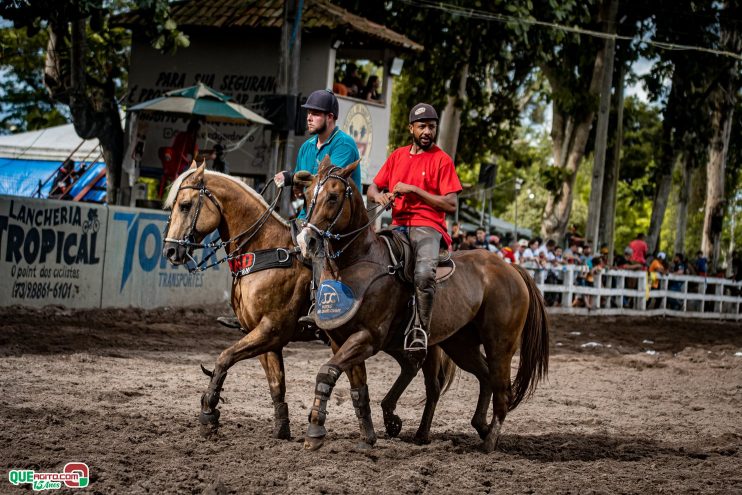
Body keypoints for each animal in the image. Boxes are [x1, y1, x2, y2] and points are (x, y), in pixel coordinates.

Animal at [163, 164, 460, 446]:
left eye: (185, 205)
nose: (170, 251)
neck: (265, 250)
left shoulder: (271, 331)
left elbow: (224, 358)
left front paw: (208, 413)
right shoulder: (263, 337)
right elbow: (276, 384)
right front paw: (282, 429)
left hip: (425, 341)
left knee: (432, 384)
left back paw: (420, 433)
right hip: (393, 339)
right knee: (410, 367)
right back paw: (391, 418)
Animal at [298, 159, 552, 454]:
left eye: (333, 196)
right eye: (306, 195)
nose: (307, 240)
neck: (358, 262)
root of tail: (511, 268)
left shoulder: (367, 338)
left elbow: (326, 373)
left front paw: (315, 431)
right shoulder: (341, 340)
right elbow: (358, 389)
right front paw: (368, 437)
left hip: (500, 344)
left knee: (502, 390)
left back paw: (489, 442)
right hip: (460, 344)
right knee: (479, 378)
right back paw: (466, 428)